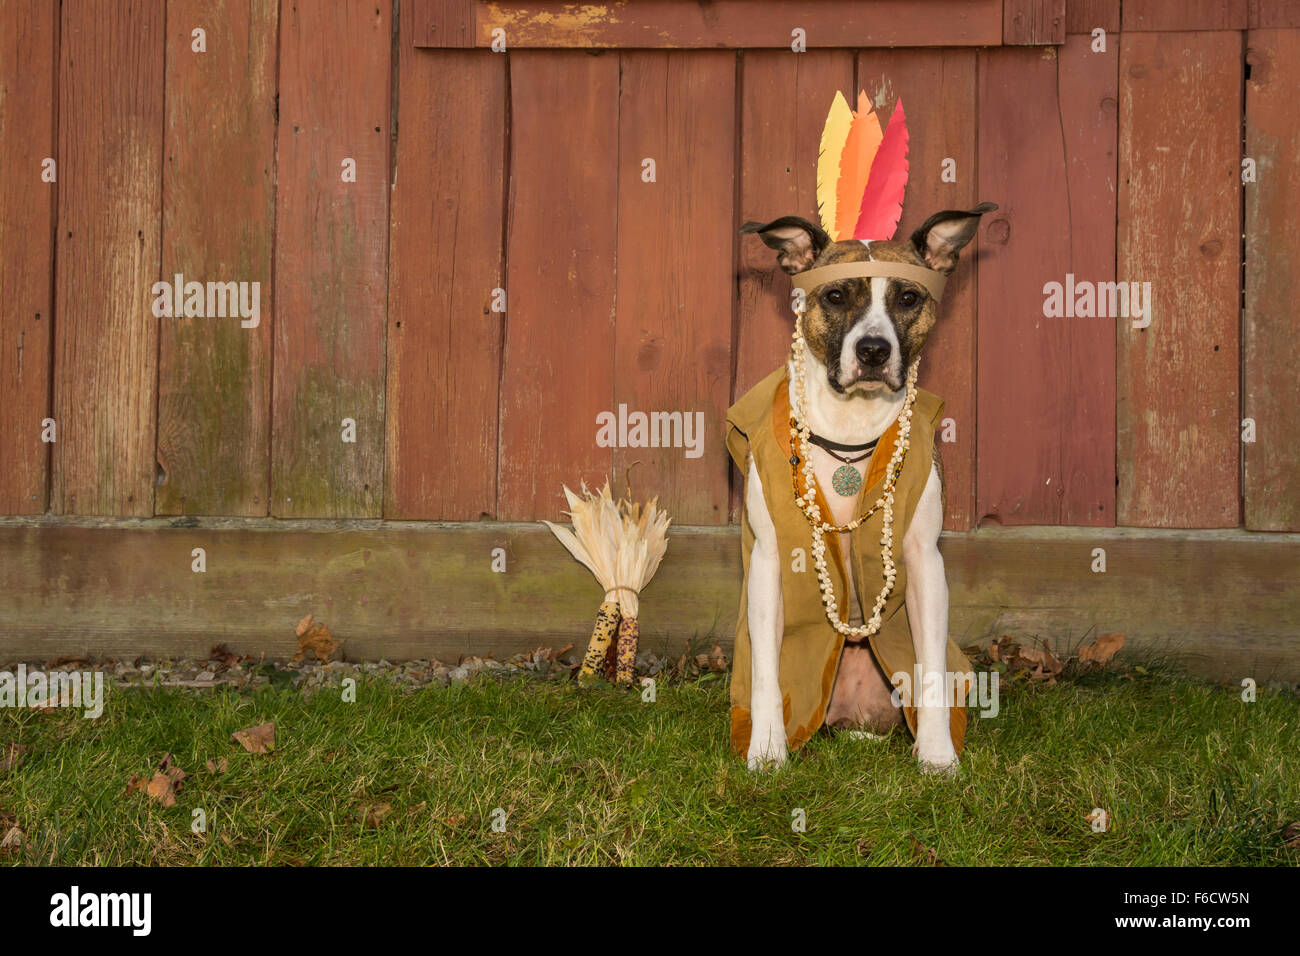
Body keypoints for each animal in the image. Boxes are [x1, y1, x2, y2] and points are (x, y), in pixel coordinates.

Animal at [733, 200, 993, 770]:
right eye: (835, 296)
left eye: (908, 297)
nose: (873, 350)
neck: (850, 426)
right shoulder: (769, 560)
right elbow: (765, 673)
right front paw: (767, 748)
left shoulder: (925, 562)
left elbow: (931, 670)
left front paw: (937, 754)